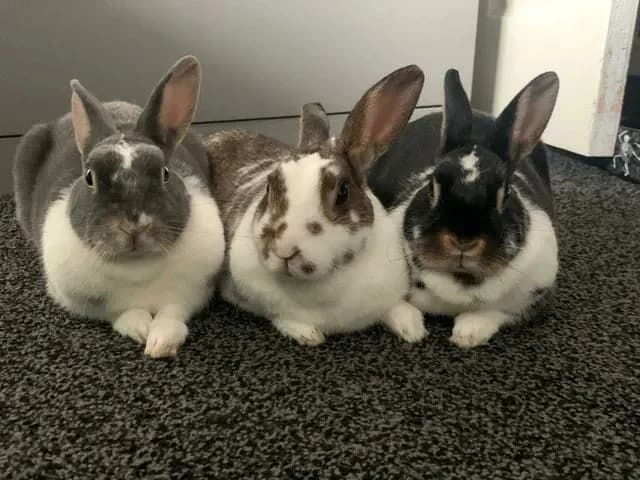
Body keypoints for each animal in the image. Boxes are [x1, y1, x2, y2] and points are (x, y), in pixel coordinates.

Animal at [12, 56, 225, 358]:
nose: (133, 225)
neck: (136, 267)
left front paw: (161, 343)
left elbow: (172, 314)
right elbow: (123, 313)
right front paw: (142, 330)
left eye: (165, 173)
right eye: (89, 177)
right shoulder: (80, 299)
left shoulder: (192, 293)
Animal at [206, 65, 428, 346]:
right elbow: (279, 316)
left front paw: (413, 329)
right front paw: (309, 335)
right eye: (270, 185)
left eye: (342, 192)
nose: (284, 250)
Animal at [369, 69, 560, 348]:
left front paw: (467, 334)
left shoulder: (531, 296)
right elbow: (389, 305)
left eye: (506, 193)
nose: (463, 240)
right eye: (432, 188)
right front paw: (412, 330)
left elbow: (496, 312)